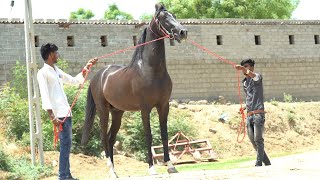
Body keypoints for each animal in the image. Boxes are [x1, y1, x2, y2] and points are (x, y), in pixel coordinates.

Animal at [80, 2, 188, 177]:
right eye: (163, 18)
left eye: (174, 16)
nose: (183, 32)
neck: (151, 71)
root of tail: (99, 75)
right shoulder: (145, 109)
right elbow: (148, 135)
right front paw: (152, 169)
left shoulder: (164, 106)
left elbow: (164, 134)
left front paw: (171, 166)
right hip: (103, 110)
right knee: (104, 137)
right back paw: (111, 172)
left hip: (117, 112)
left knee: (110, 138)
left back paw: (115, 171)